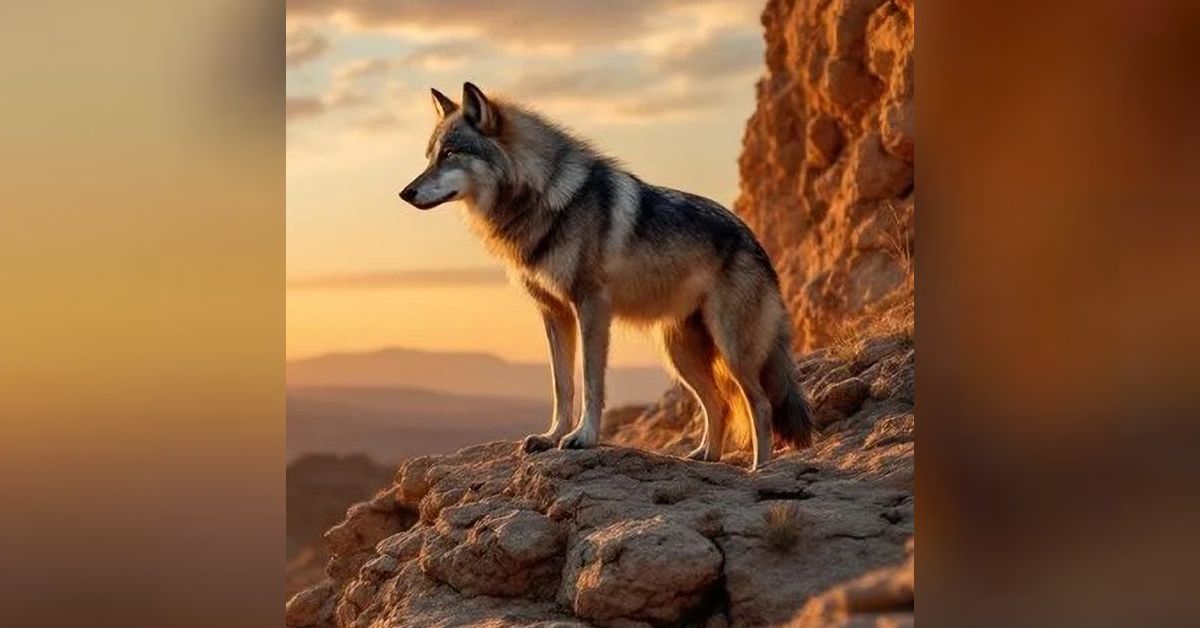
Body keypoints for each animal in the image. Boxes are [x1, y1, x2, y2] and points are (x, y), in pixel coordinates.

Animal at [399, 83, 812, 469]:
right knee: (719, 402)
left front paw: (584, 437)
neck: (542, 197)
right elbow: (562, 384)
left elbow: (591, 381)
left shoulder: (591, 306)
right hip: (679, 353)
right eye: (430, 156)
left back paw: (760, 469)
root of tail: (756, 243)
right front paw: (551, 436)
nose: (406, 192)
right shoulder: (553, 311)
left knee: (760, 404)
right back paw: (705, 456)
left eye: (449, 154)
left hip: (732, 348)